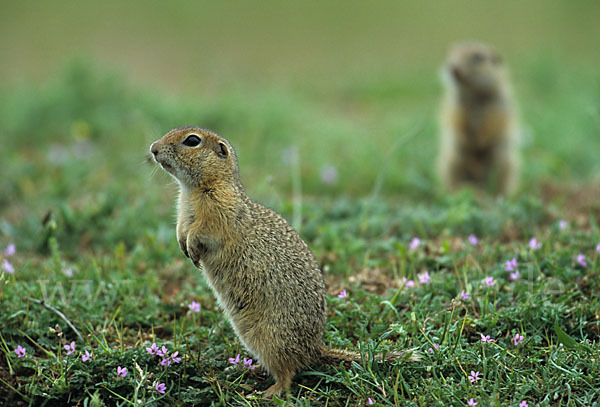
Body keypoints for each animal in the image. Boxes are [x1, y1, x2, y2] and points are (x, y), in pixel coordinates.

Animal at [150, 126, 418, 398]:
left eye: (192, 140)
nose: (153, 148)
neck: (193, 190)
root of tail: (314, 348)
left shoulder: (218, 211)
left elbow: (202, 230)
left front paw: (192, 249)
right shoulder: (183, 214)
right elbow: (181, 229)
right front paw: (183, 246)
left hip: (273, 339)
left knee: (288, 374)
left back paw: (268, 391)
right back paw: (244, 369)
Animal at [438, 42, 516, 195]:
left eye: (478, 57)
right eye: (450, 53)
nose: (453, 68)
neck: (474, 93)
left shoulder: (499, 104)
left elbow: (495, 123)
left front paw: (482, 141)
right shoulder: (455, 106)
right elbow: (457, 121)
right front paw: (467, 139)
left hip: (505, 164)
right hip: (450, 163)